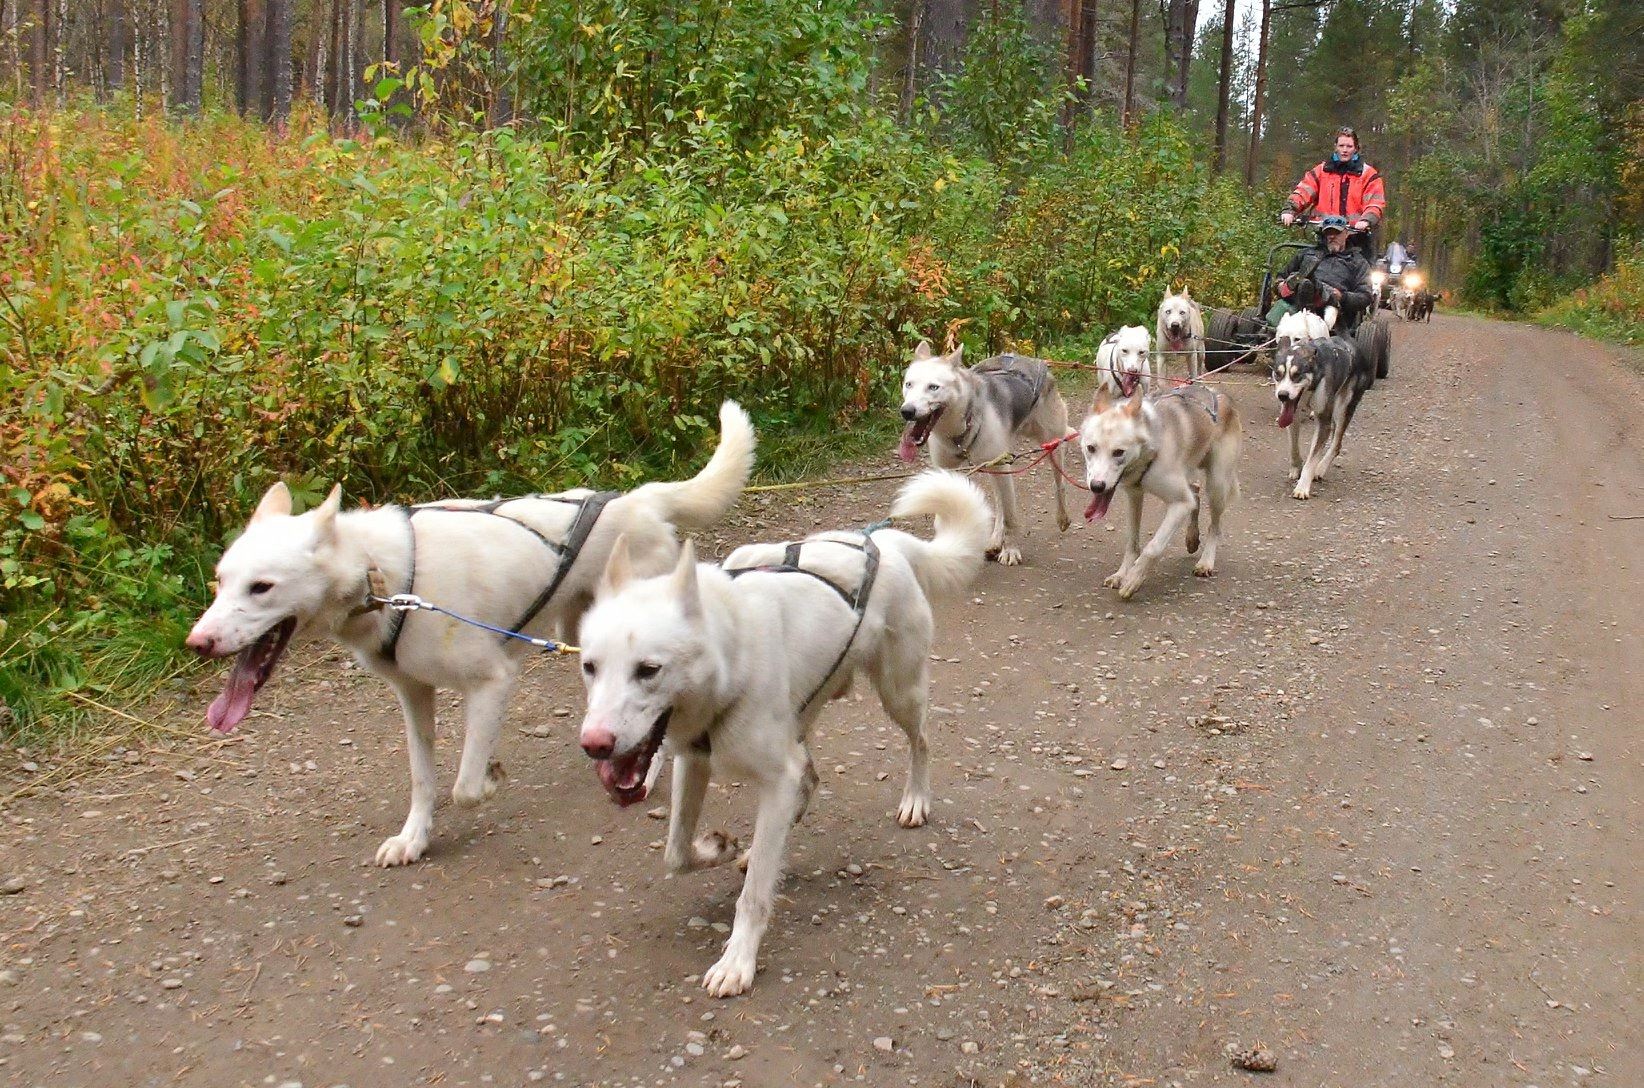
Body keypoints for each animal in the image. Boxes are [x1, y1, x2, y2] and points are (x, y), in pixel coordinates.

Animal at [188, 401, 756, 867]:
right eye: (219, 581)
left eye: (262, 587)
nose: (198, 642)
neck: (386, 577)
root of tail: (639, 500)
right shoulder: (413, 694)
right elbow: (423, 779)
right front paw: (414, 838)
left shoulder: (491, 681)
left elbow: (462, 786)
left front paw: (488, 780)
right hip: (582, 634)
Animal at [578, 473, 986, 999]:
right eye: (590, 666)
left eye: (649, 669)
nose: (595, 744)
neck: (731, 659)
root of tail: (886, 543)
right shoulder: (694, 761)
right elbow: (676, 853)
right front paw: (718, 849)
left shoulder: (773, 777)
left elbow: (752, 897)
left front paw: (737, 961)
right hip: (804, 716)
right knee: (809, 779)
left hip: (900, 692)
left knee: (922, 743)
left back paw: (916, 798)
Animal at [894, 345, 1071, 565]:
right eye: (909, 384)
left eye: (933, 387)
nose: (907, 411)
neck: (959, 430)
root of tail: (1031, 360)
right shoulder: (950, 470)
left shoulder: (1001, 466)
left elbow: (1011, 518)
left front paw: (1010, 549)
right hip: (995, 465)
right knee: (1000, 501)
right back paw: (994, 540)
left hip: (1049, 444)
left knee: (1059, 482)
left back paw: (1062, 516)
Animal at [1085, 387, 1236, 601]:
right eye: (1091, 448)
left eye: (1119, 452)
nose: (1097, 486)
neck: (1151, 447)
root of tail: (1220, 394)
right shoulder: (1134, 496)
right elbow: (1132, 543)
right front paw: (1121, 574)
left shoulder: (1180, 504)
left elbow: (1153, 547)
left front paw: (1133, 579)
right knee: (1195, 492)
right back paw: (1192, 537)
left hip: (1217, 485)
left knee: (1214, 526)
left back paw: (1206, 561)